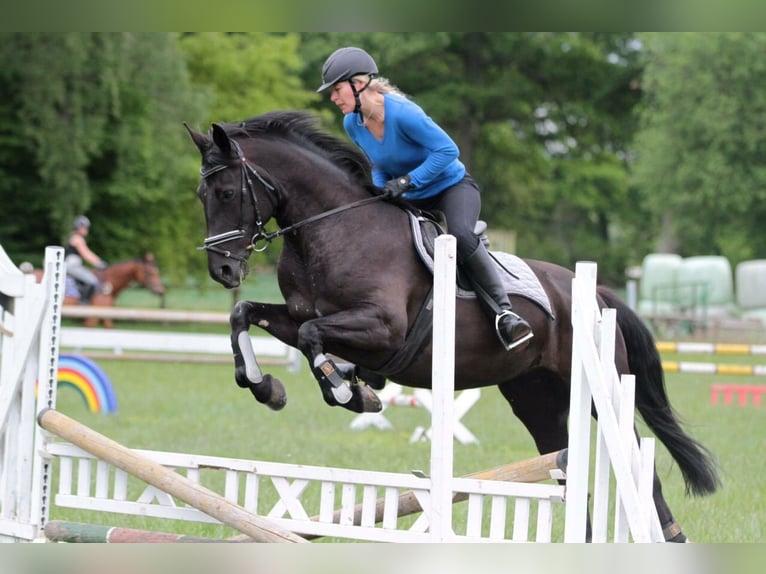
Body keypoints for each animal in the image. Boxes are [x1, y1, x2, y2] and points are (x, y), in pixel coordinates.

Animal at [184, 109, 720, 544]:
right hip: (534, 395)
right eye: (200, 195)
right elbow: (247, 314)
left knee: (635, 455)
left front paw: (351, 393)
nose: (222, 270)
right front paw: (267, 387)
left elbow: (314, 337)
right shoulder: (299, 314)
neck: (331, 229)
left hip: (591, 386)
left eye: (227, 192)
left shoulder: (383, 328)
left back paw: (673, 536)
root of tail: (596, 293)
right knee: (562, 461)